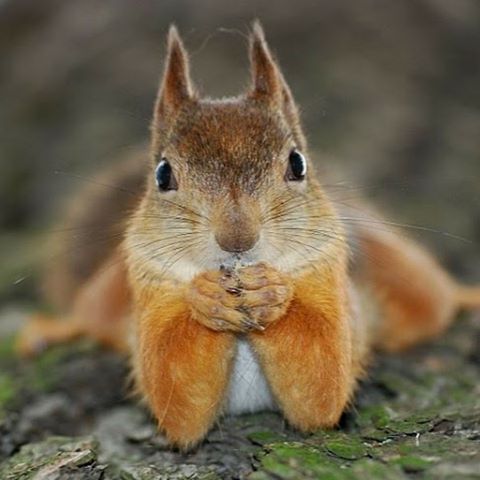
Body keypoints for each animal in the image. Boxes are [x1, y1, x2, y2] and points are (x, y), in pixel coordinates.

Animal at [15, 20, 480, 450]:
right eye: (163, 174)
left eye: (298, 164)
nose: (237, 238)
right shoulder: (150, 286)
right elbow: (176, 398)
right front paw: (206, 298)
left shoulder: (329, 278)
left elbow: (323, 383)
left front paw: (271, 293)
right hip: (110, 291)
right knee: (89, 316)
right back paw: (51, 329)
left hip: (395, 269)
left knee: (431, 299)